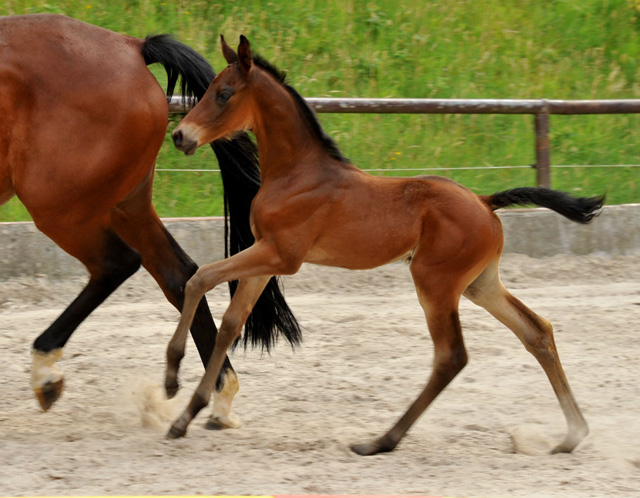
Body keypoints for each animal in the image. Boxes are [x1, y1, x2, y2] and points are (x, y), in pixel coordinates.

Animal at [0, 15, 300, 428]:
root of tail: (132, 47)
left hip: (60, 207)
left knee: (117, 263)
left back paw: (45, 372)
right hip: (124, 204)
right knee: (180, 274)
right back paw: (219, 395)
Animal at [166, 35, 604, 456]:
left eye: (224, 93)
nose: (180, 136)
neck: (299, 173)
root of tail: (484, 202)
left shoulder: (280, 255)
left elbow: (199, 278)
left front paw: (172, 376)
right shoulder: (266, 257)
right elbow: (231, 322)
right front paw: (187, 415)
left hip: (434, 283)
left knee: (451, 357)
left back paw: (382, 441)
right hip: (480, 284)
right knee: (537, 332)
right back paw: (573, 434)